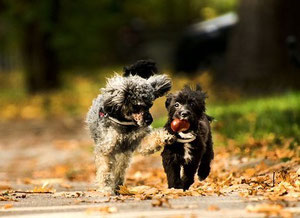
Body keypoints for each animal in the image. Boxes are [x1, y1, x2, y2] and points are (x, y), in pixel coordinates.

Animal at [85, 63, 173, 194]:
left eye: (150, 105)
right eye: (137, 106)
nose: (149, 120)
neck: (125, 124)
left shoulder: (138, 141)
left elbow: (151, 140)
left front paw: (165, 136)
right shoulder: (105, 148)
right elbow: (104, 170)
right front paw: (105, 188)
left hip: (124, 155)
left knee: (120, 169)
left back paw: (118, 185)